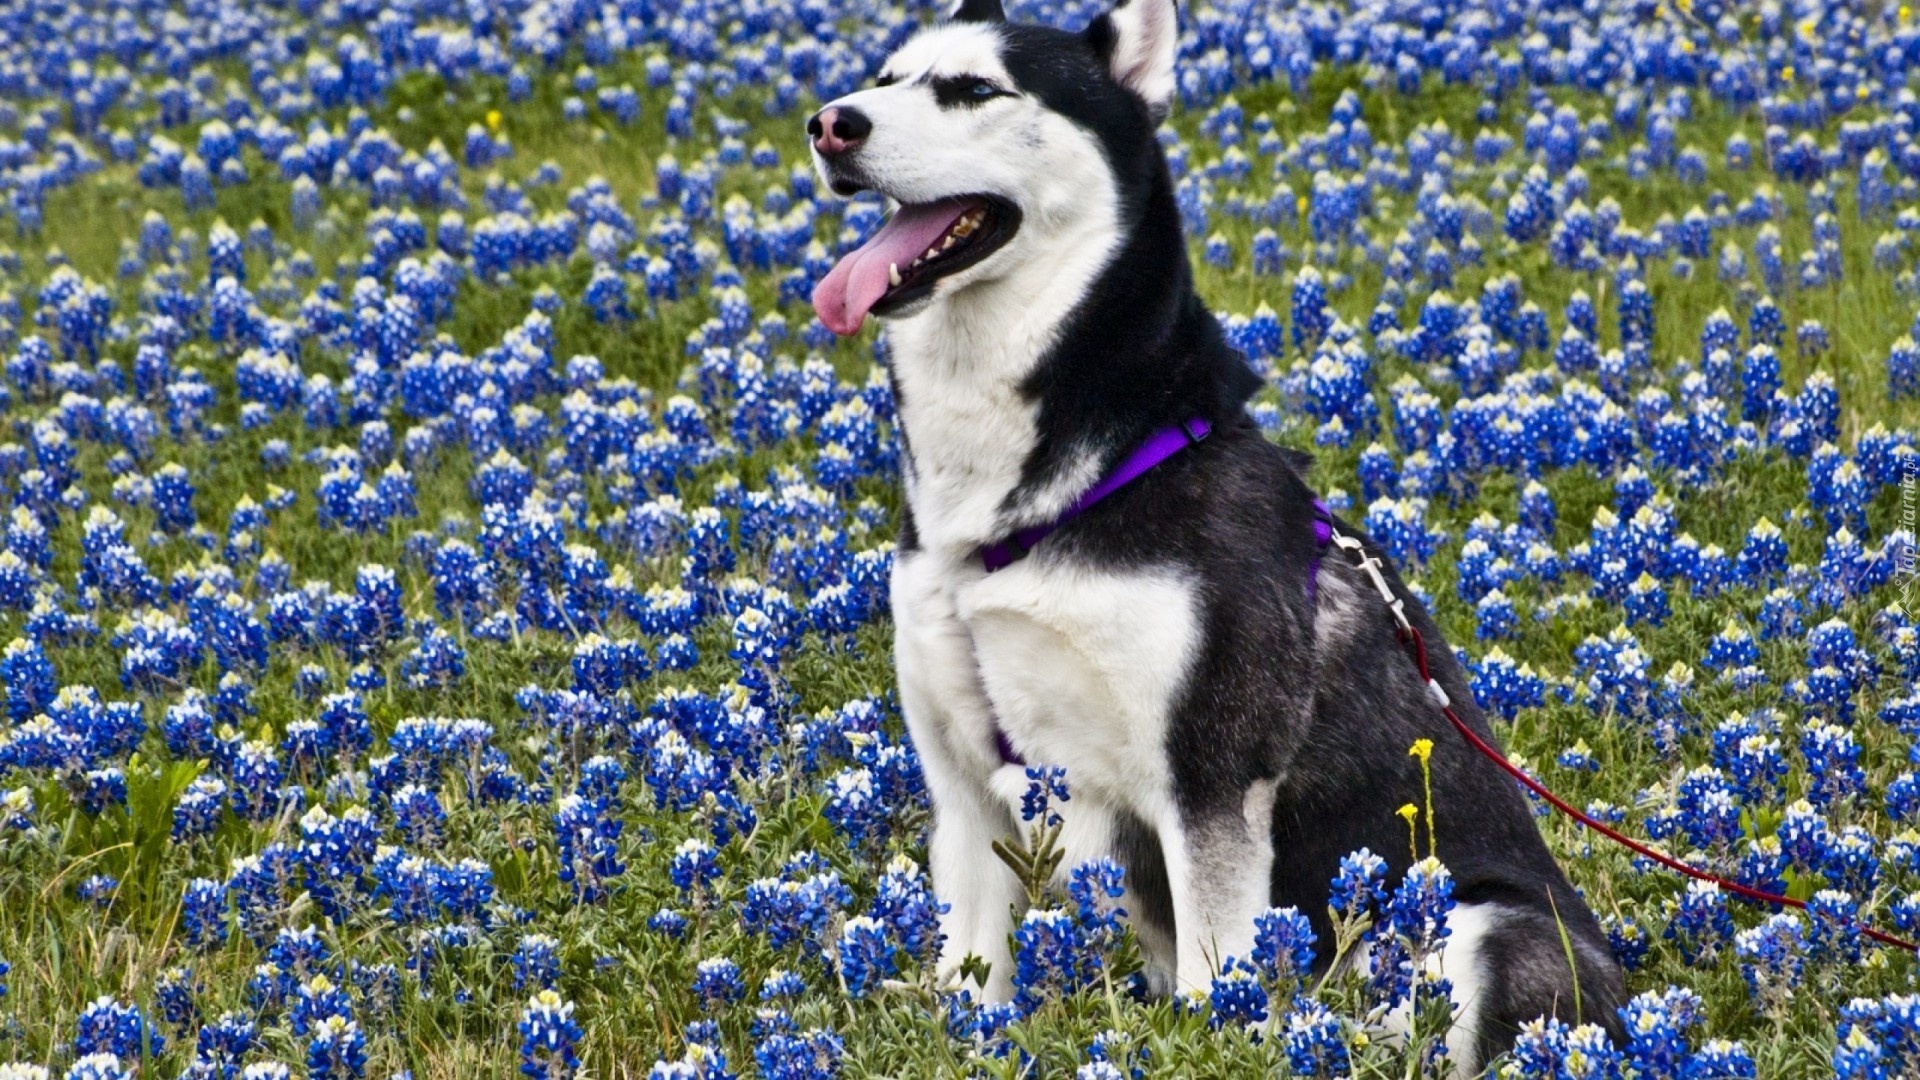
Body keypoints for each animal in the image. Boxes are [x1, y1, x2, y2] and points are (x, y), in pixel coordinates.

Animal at [802, 0, 1628, 1060]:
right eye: (886, 76)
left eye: (977, 89)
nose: (831, 124)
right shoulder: (965, 784)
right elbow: (970, 977)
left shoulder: (1210, 779)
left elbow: (1213, 978)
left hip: (1479, 924)